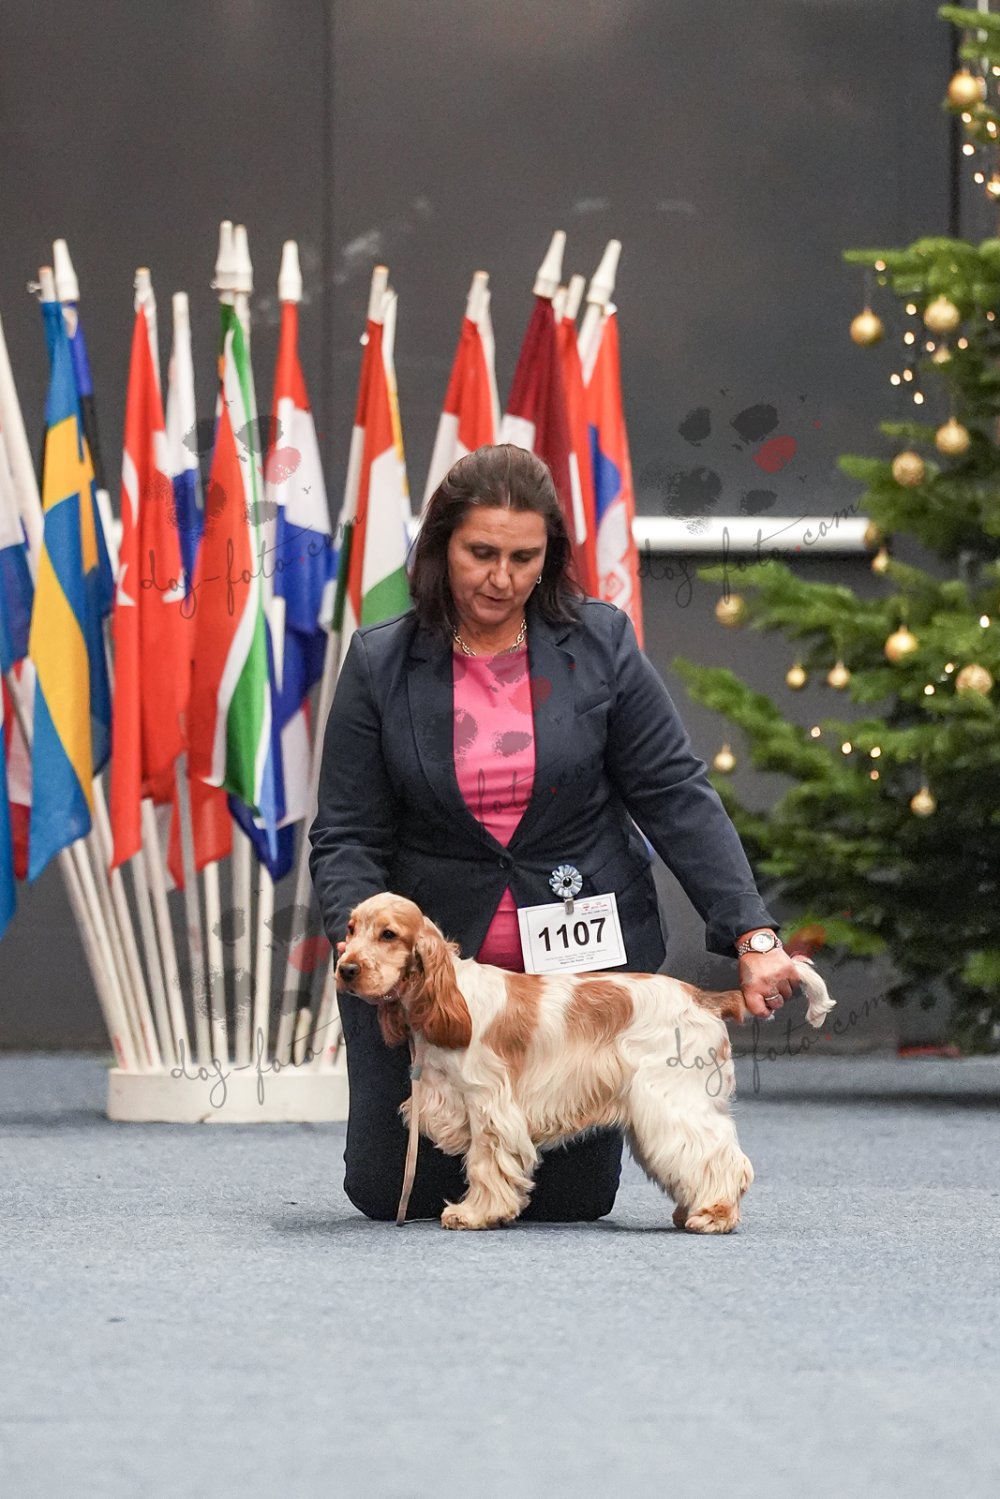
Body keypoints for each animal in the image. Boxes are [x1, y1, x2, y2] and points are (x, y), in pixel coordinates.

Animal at [335, 893, 835, 1233]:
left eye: (388, 934)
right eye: (351, 930)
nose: (345, 969)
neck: (449, 996)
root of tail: (703, 997)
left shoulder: (489, 1104)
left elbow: (485, 1163)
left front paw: (473, 1213)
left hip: (672, 1101)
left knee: (721, 1156)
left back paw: (713, 1214)